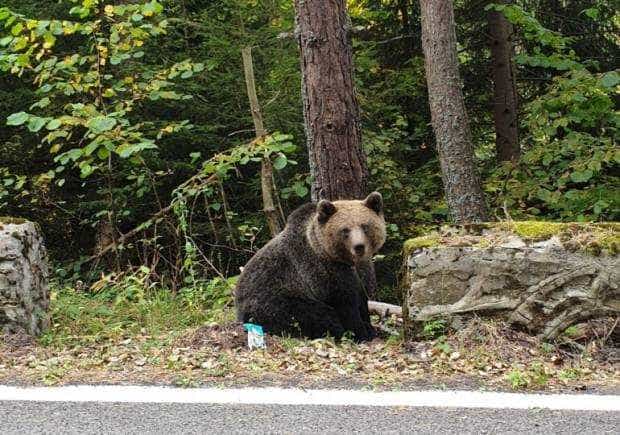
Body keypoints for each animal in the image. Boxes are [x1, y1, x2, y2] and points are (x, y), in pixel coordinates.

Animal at [235, 192, 386, 342]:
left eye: (365, 226)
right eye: (345, 230)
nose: (359, 246)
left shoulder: (361, 271)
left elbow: (362, 297)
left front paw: (370, 328)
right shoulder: (322, 270)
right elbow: (344, 303)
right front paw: (361, 333)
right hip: (272, 301)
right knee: (315, 315)